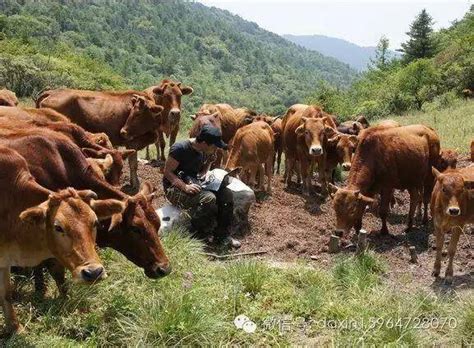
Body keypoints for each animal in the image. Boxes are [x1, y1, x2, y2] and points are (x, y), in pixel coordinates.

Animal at [35, 88, 165, 189]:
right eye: (133, 112)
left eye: (138, 114)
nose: (123, 132)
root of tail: (52, 92)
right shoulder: (132, 142)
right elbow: (133, 165)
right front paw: (135, 184)